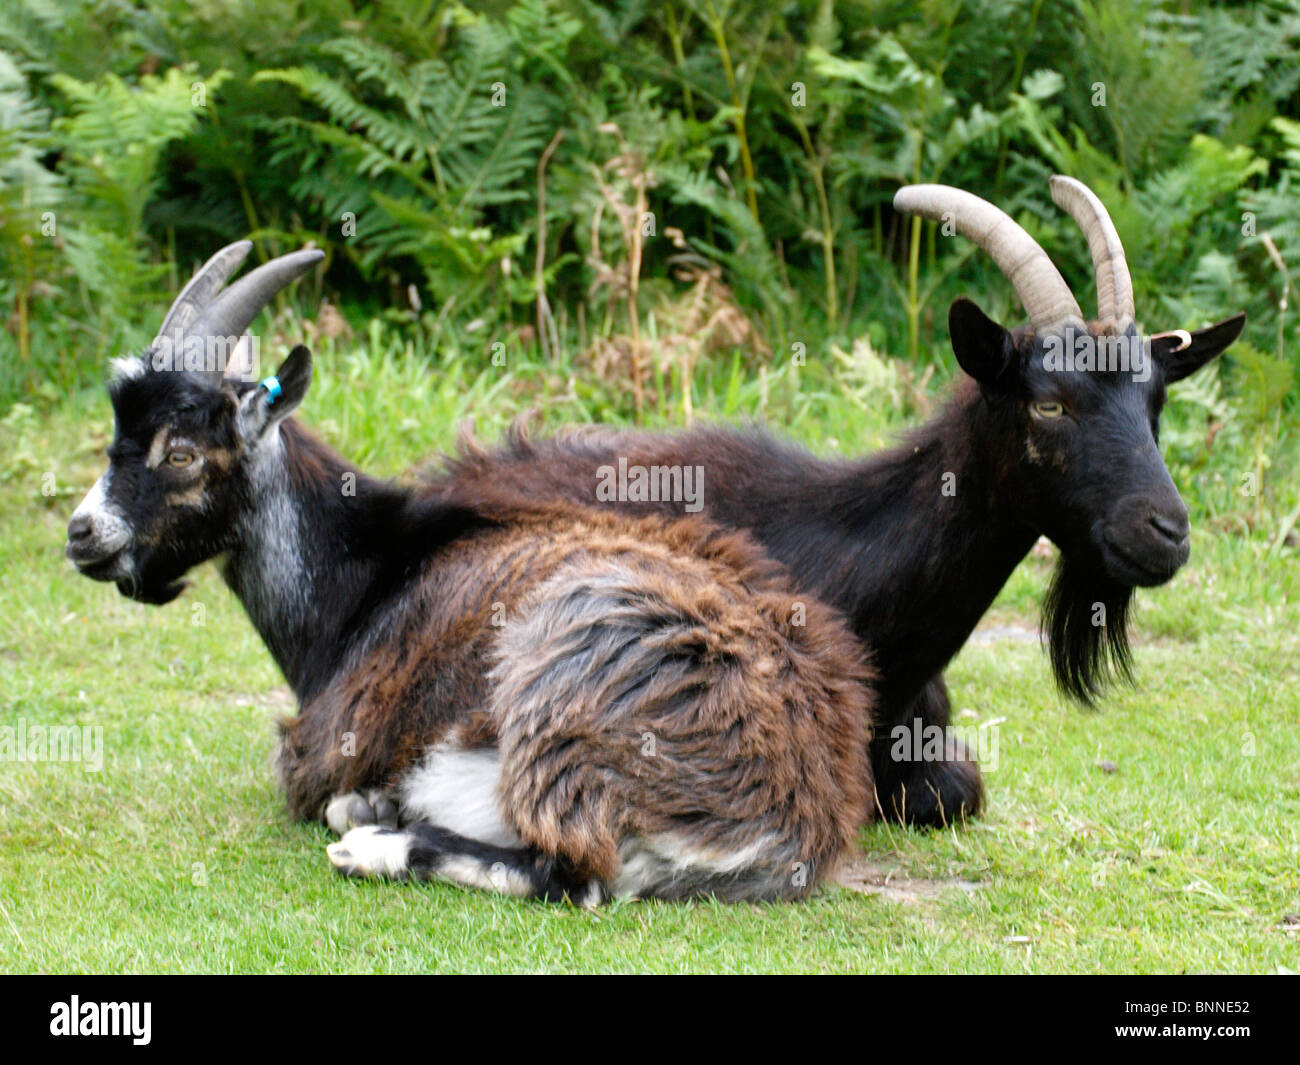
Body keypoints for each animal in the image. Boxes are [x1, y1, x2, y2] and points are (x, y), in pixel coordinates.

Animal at [63, 245, 873, 905]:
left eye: (181, 453)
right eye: (115, 439)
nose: (81, 533)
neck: (361, 574)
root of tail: (799, 810)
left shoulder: (321, 751)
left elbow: (326, 794)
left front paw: (369, 812)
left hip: (562, 672)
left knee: (575, 874)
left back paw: (375, 846)